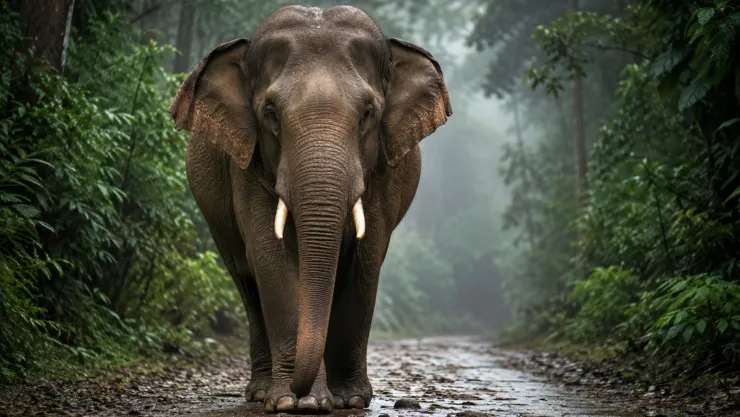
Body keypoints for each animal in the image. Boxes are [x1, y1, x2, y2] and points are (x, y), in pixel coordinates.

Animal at [168, 4, 452, 415]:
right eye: (270, 113)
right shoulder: (248, 166)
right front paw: (294, 401)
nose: (299, 388)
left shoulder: (383, 173)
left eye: (368, 113)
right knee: (247, 283)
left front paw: (349, 400)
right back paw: (260, 392)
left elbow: (365, 260)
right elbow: (270, 257)